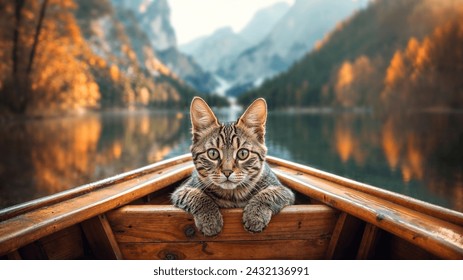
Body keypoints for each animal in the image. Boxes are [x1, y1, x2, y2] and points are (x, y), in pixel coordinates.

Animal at [170, 97, 294, 235]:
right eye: (213, 153)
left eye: (243, 153)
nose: (227, 172)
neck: (233, 195)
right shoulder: (183, 190)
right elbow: (197, 196)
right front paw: (210, 219)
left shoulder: (284, 191)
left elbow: (269, 193)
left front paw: (255, 215)